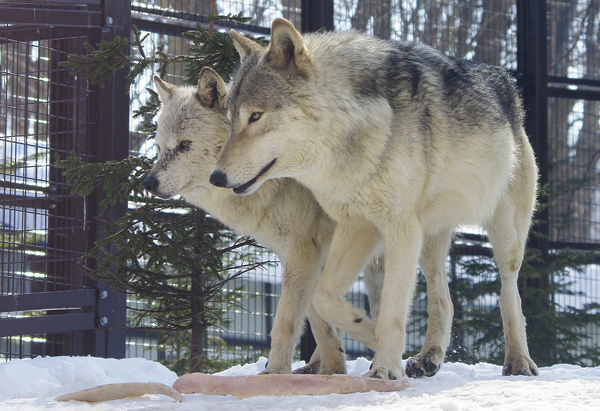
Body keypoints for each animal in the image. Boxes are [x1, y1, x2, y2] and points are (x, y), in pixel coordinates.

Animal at [141, 70, 382, 376]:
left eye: (184, 144)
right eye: (160, 147)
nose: (147, 183)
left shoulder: (302, 252)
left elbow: (285, 322)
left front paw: (277, 373)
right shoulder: (305, 255)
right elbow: (319, 322)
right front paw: (332, 370)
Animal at [210, 18, 540, 380]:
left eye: (256, 116)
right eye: (230, 120)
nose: (216, 178)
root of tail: (504, 80)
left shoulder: (398, 228)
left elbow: (392, 310)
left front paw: (383, 369)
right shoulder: (359, 226)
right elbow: (325, 297)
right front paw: (366, 330)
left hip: (505, 237)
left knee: (509, 295)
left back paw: (518, 361)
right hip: (429, 242)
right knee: (444, 300)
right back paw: (428, 357)